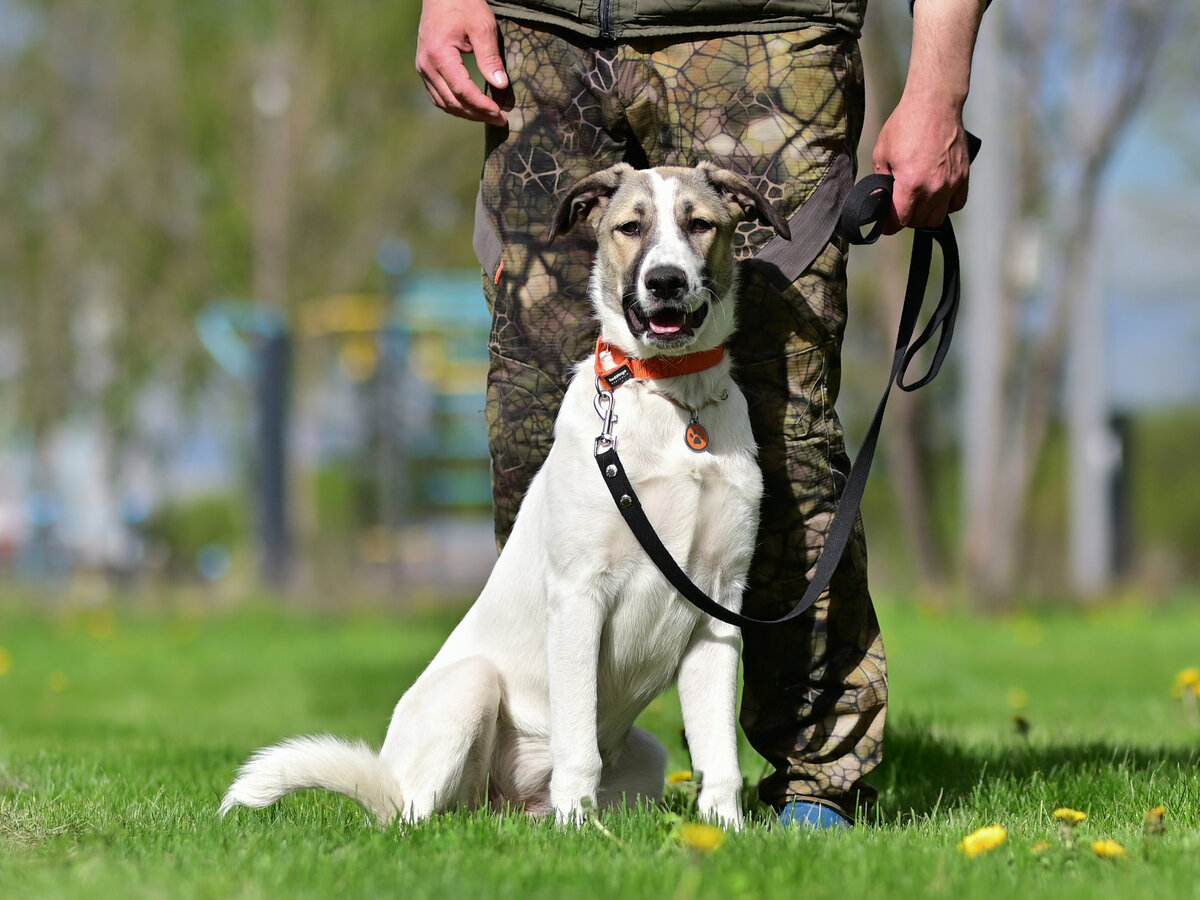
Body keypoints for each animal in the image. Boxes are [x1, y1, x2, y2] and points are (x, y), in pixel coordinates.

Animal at [220, 160, 792, 830]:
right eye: (629, 227)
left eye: (700, 224)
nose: (666, 282)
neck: (671, 400)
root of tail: (503, 805)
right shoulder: (579, 595)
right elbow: (577, 744)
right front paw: (581, 832)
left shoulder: (719, 604)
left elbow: (718, 756)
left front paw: (726, 832)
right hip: (470, 688)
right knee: (415, 816)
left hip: (645, 757)